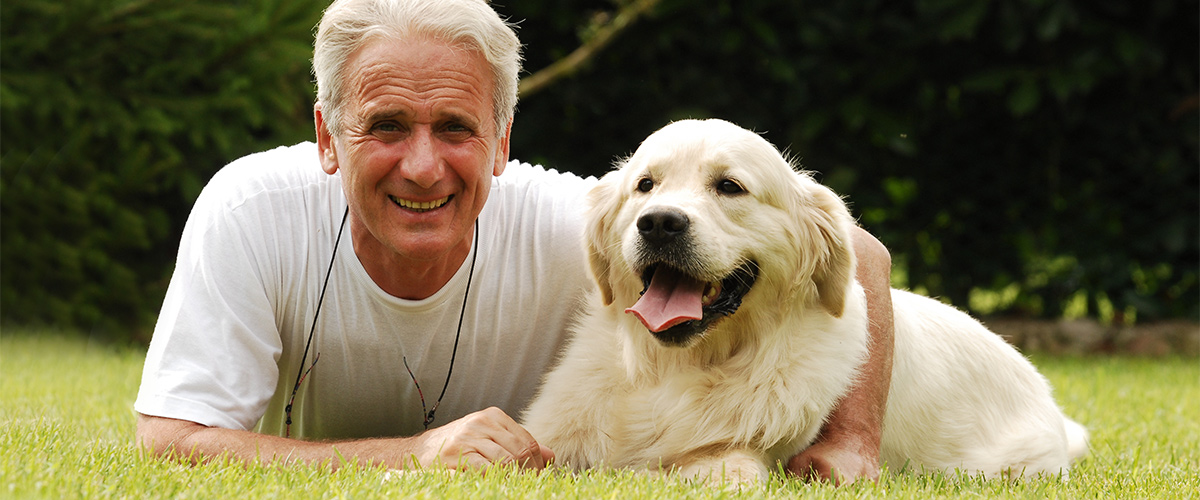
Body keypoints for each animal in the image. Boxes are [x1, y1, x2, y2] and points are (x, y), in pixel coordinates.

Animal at [520, 118, 1094, 484]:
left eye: (730, 186)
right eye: (645, 185)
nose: (659, 222)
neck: (674, 370)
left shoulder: (736, 460)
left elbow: (727, 471)